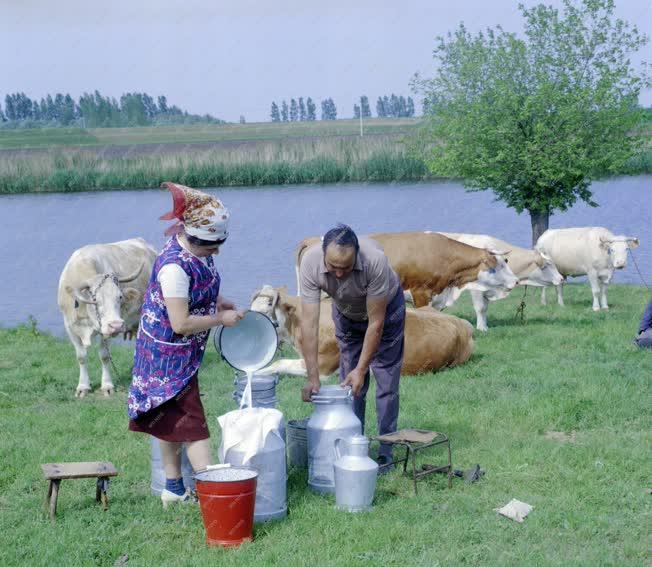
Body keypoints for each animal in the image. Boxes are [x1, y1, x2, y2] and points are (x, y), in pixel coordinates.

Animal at [57, 237, 157, 398]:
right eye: (96, 300)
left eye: (120, 297)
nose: (116, 325)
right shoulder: (70, 327)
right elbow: (81, 357)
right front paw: (83, 387)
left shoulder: (105, 331)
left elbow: (104, 356)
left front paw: (107, 385)